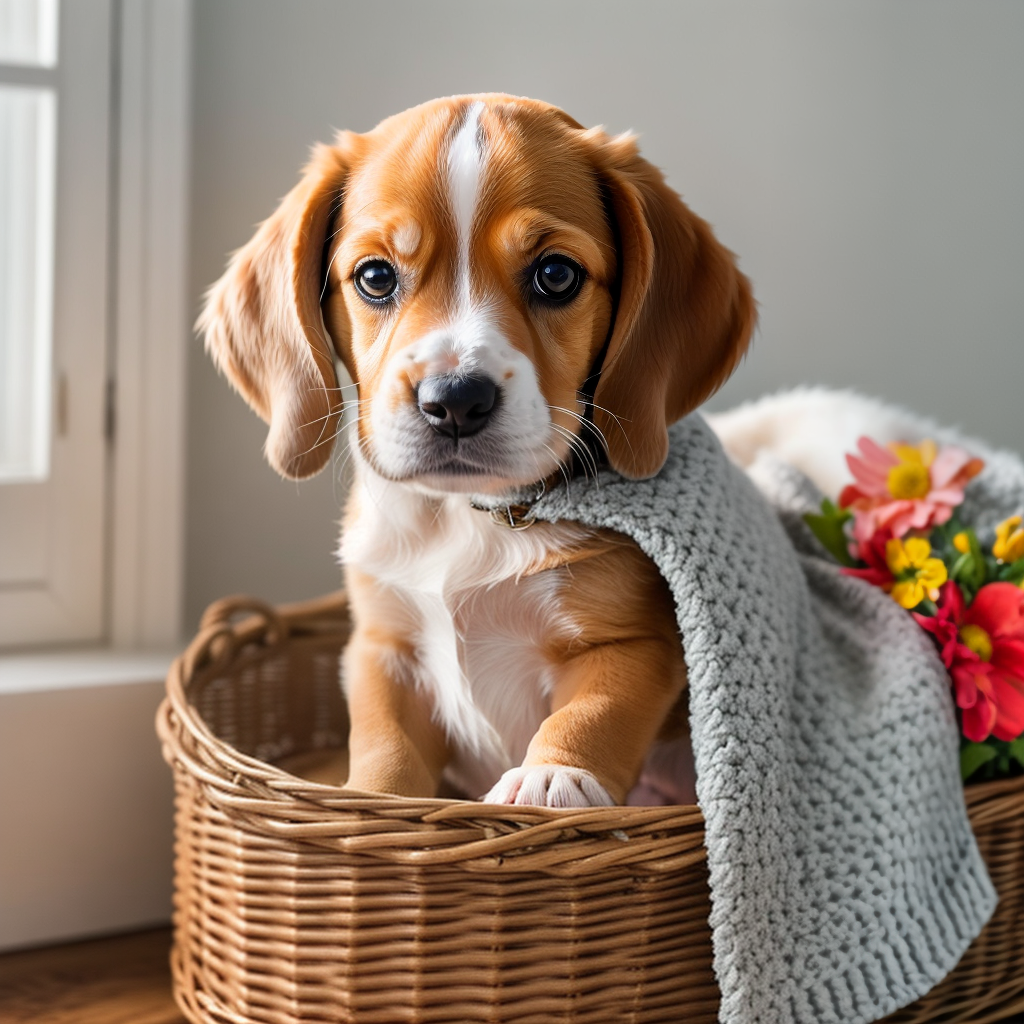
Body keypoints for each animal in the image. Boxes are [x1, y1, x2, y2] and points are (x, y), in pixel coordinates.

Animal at [197, 94, 753, 806]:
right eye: (374, 276)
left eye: (556, 275)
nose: (455, 399)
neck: (465, 519)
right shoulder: (383, 648)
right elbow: (384, 745)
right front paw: (374, 802)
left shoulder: (637, 642)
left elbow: (592, 713)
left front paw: (553, 777)